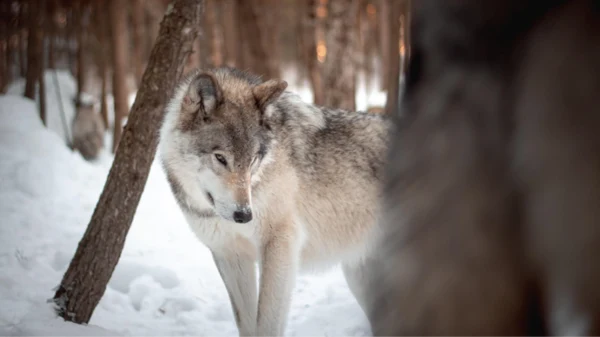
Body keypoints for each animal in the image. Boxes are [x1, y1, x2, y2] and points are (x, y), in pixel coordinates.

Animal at [158, 67, 390, 336]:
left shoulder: (280, 244)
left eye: (252, 160)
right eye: (220, 158)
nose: (244, 215)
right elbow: (247, 324)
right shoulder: (230, 255)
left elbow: (267, 323)